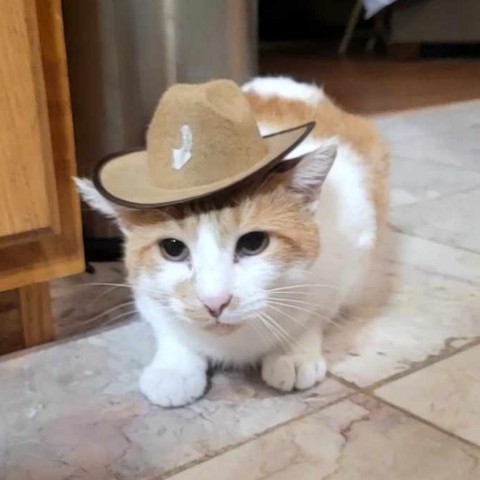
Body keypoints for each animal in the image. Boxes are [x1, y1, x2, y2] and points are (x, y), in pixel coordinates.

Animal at [76, 77, 390, 406]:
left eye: (253, 243)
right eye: (173, 248)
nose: (215, 302)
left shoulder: (347, 263)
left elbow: (312, 318)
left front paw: (292, 353)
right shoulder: (145, 293)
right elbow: (168, 328)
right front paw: (174, 367)